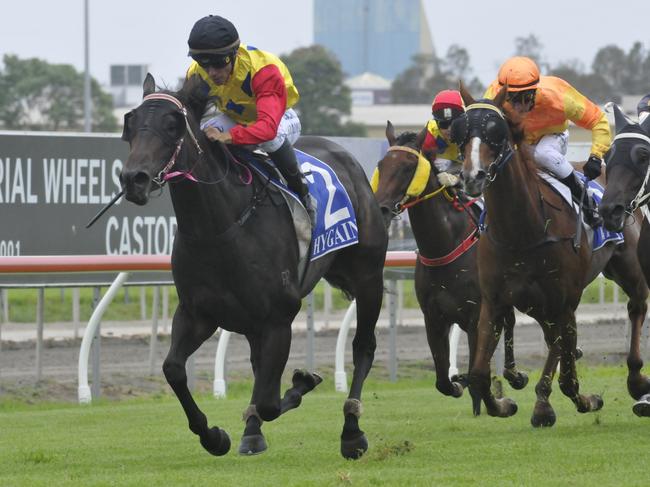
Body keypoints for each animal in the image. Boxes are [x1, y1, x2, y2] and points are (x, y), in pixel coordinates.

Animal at [119, 74, 388, 460]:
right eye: (130, 121)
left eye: (172, 124)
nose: (134, 179)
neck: (218, 229)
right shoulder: (198, 313)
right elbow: (174, 369)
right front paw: (214, 436)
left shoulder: (279, 317)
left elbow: (270, 402)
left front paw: (300, 384)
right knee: (259, 367)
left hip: (368, 277)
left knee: (363, 345)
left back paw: (351, 430)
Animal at [370, 122, 528, 412]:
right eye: (382, 164)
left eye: (409, 167)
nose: (382, 209)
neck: (444, 246)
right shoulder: (433, 318)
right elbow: (442, 381)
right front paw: (457, 383)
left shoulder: (477, 317)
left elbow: (479, 375)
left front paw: (499, 403)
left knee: (511, 323)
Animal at [456, 85, 648, 428]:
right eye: (461, 132)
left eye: (496, 132)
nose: (472, 176)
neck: (523, 231)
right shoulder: (495, 300)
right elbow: (478, 375)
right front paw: (503, 403)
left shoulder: (564, 301)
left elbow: (564, 372)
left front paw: (546, 406)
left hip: (627, 269)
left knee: (636, 306)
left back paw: (637, 381)